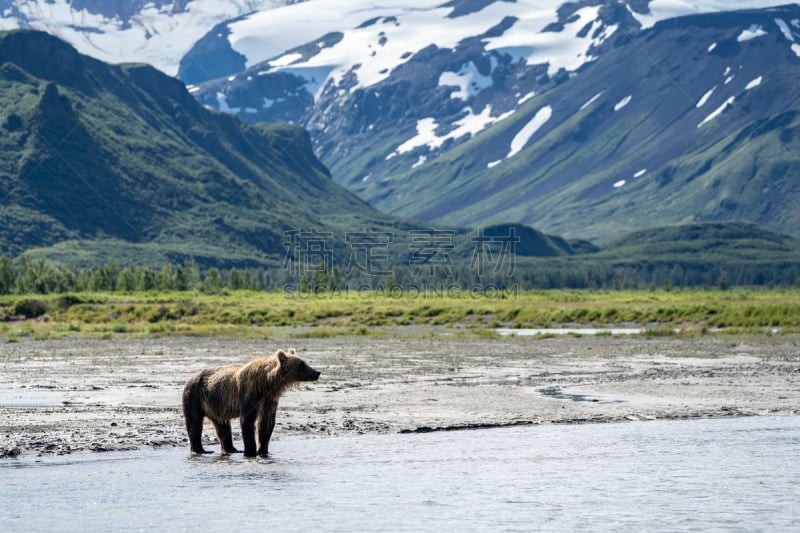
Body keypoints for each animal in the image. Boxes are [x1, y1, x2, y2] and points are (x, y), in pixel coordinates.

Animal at [181, 348, 318, 456]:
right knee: (195, 422)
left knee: (223, 426)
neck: (267, 383)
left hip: (216, 404)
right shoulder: (250, 393)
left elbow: (266, 422)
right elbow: (247, 420)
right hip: (195, 395)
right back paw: (201, 450)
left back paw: (232, 449)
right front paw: (251, 452)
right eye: (301, 364)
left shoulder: (269, 400)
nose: (317, 372)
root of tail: (190, 379)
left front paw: (263, 451)